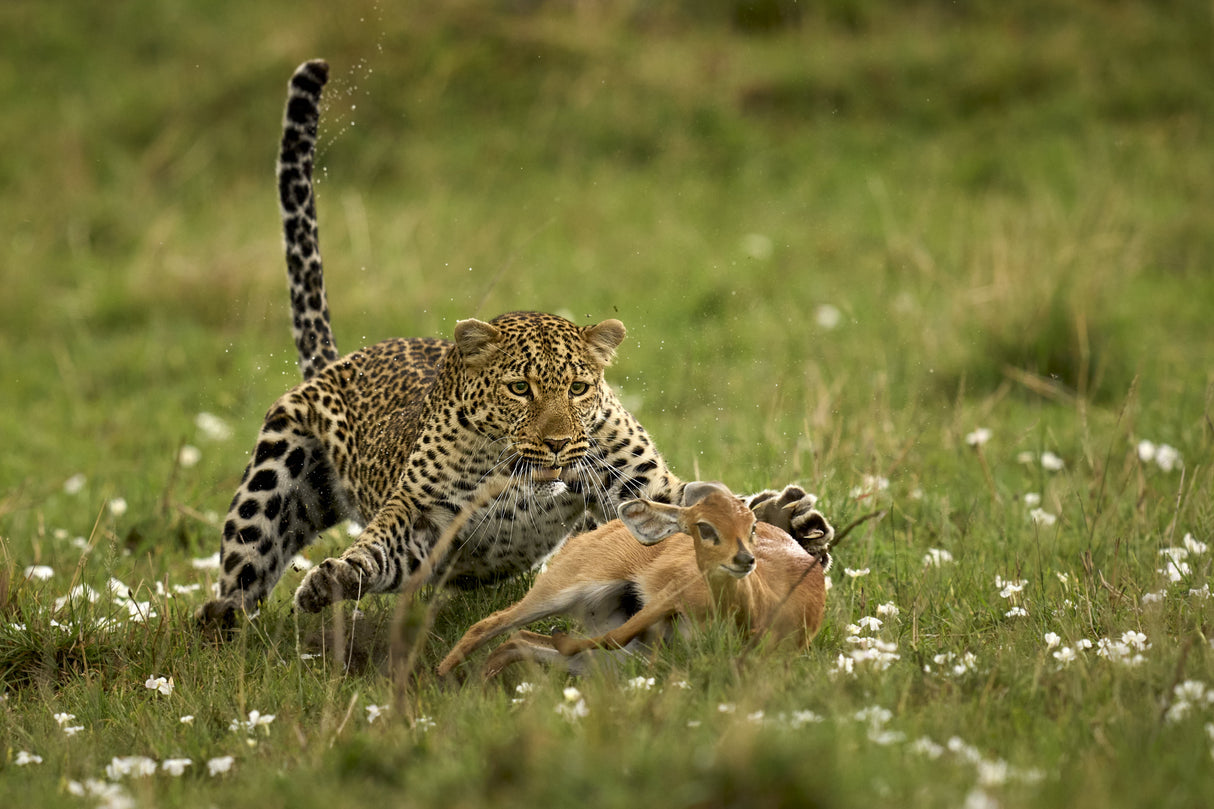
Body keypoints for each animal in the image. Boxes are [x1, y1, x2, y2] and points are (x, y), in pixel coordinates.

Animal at [195, 59, 834, 627]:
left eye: (578, 388)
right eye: (519, 389)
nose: (556, 445)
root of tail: (338, 364)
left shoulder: (641, 489)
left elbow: (691, 505)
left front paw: (781, 523)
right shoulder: (422, 522)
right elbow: (377, 548)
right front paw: (333, 578)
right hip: (273, 477)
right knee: (244, 568)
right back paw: (221, 621)